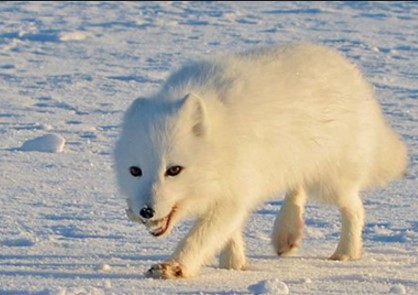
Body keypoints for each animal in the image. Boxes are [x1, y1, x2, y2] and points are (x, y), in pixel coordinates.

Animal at [112, 44, 406, 280]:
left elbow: (202, 236)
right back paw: (287, 233)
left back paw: (346, 252)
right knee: (297, 188)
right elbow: (228, 233)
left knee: (354, 207)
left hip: (330, 181)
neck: (220, 141)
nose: (146, 211)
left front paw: (174, 267)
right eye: (135, 171)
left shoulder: (234, 193)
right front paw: (234, 264)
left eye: (174, 170)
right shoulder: (230, 191)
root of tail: (352, 73)